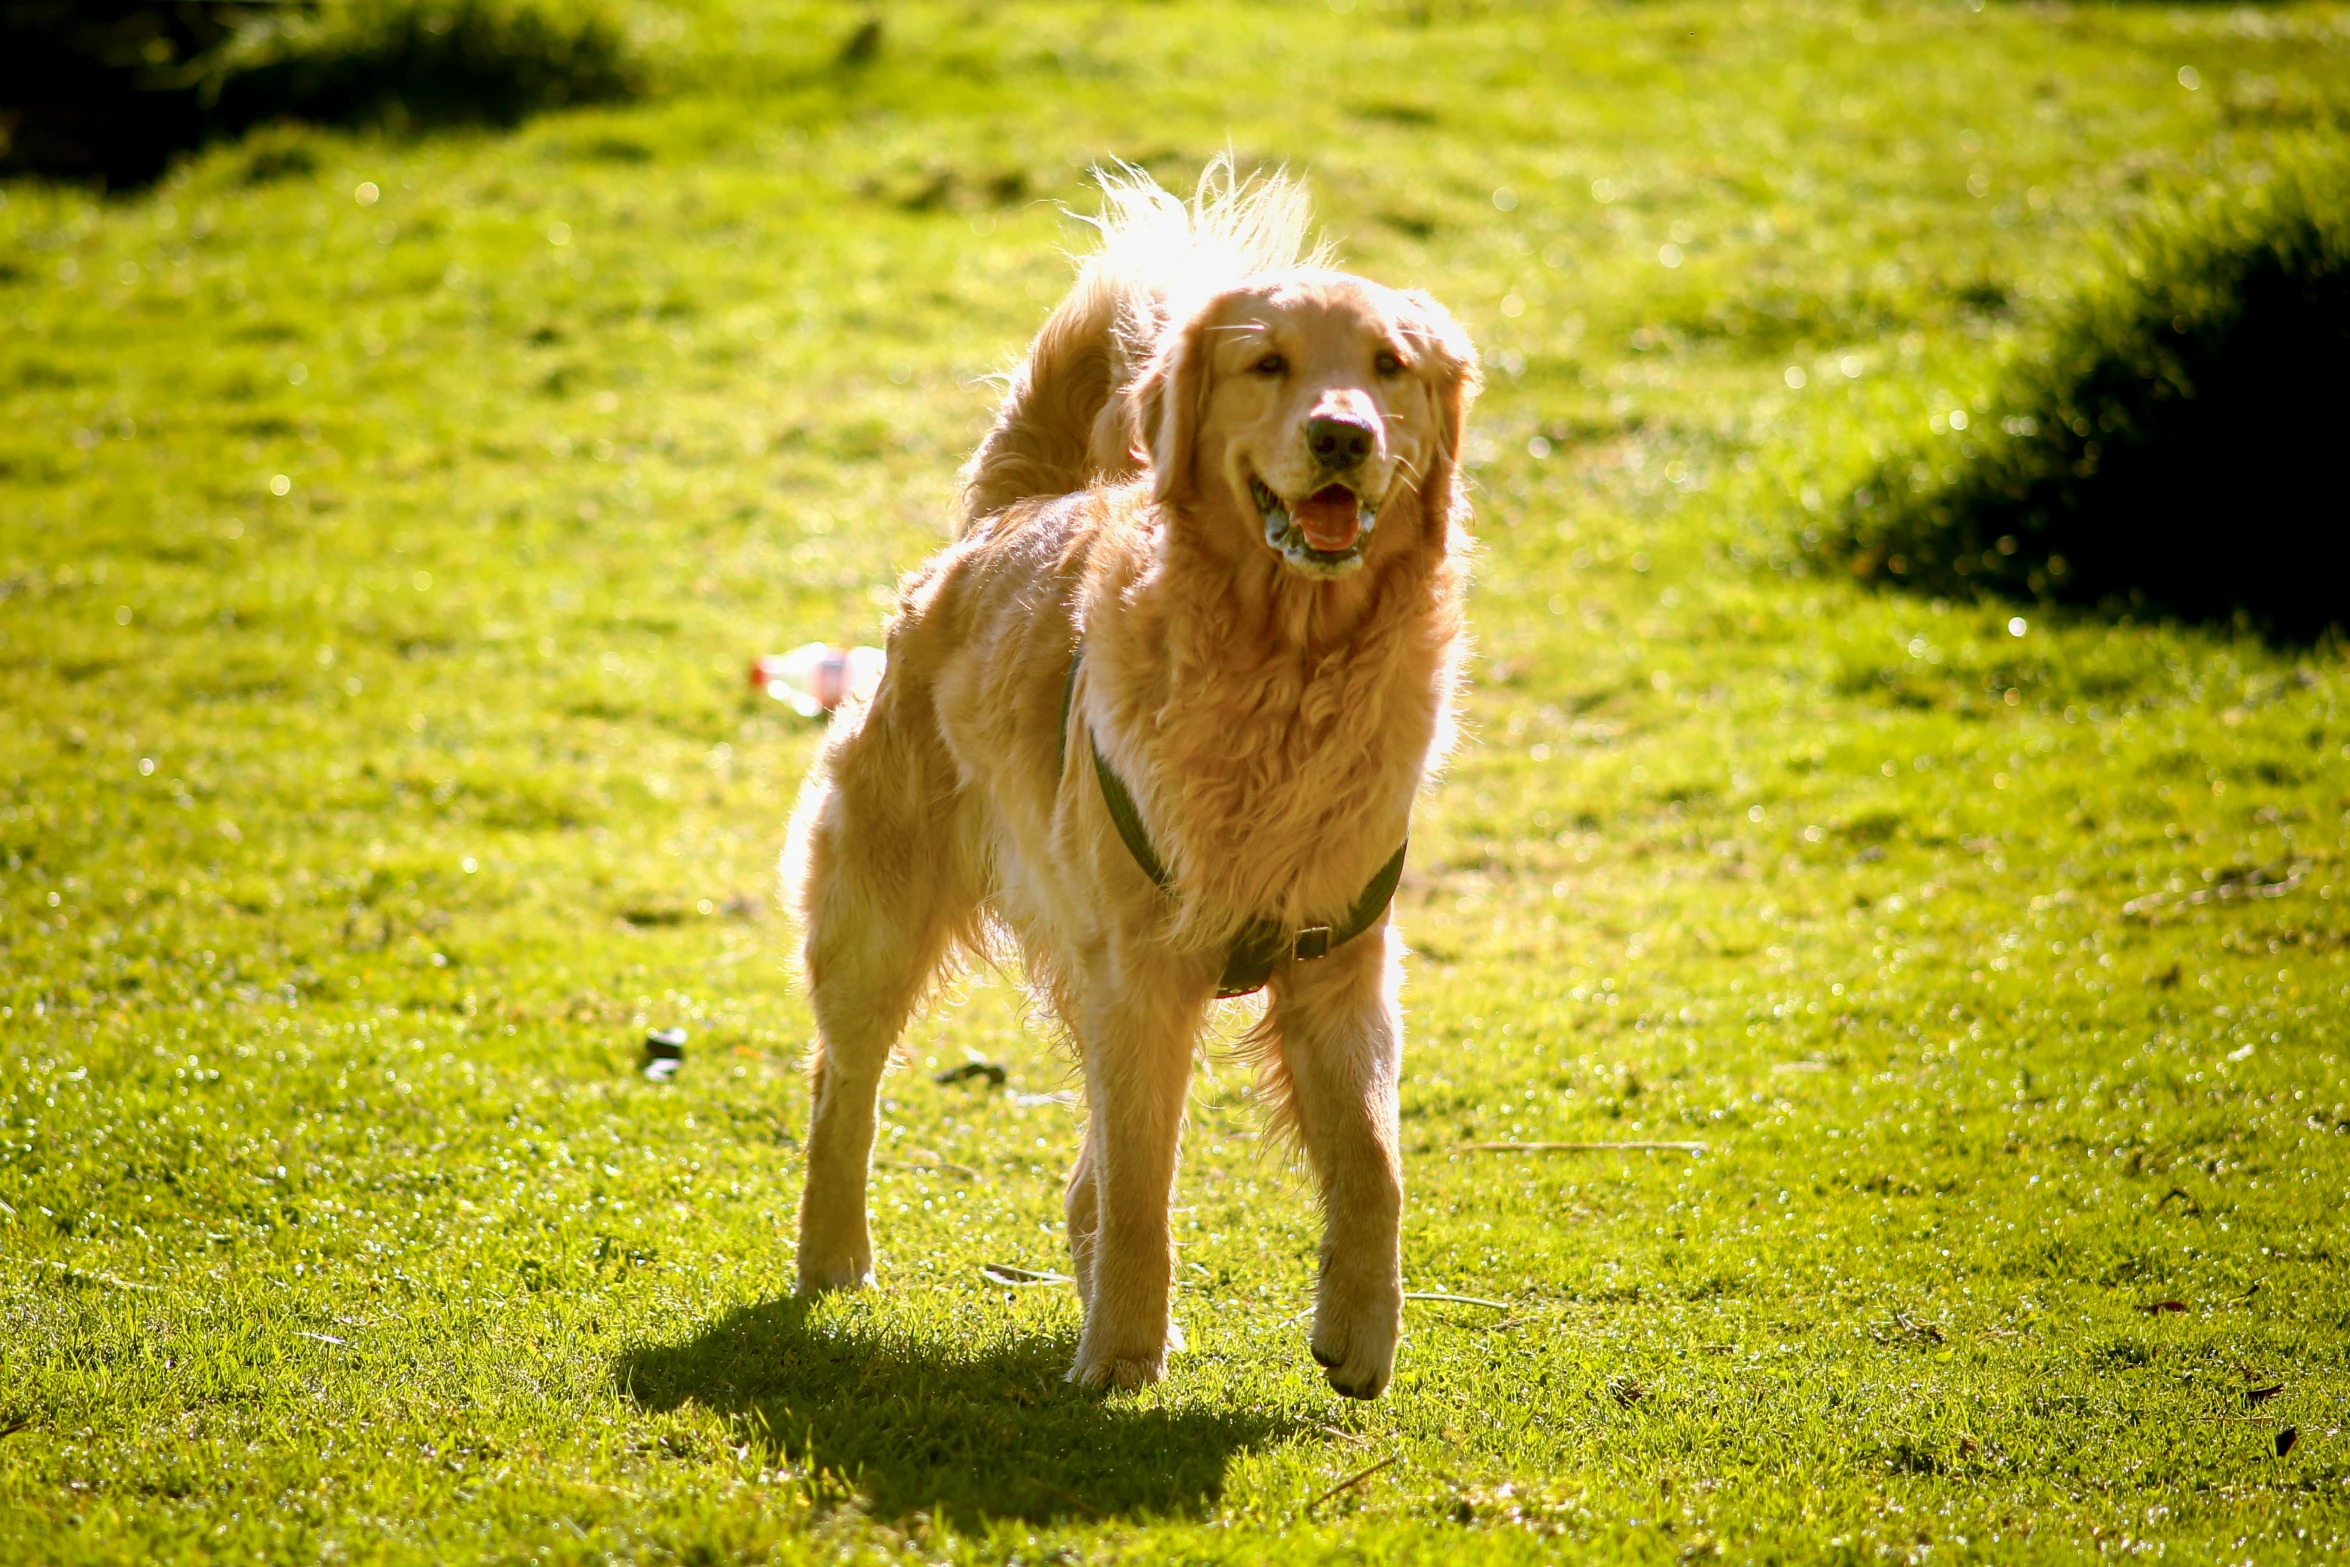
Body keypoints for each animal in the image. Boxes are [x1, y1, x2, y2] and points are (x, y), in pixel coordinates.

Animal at [789, 159, 1485, 1400]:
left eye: (1387, 367)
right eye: (1269, 364)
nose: (1341, 437)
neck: (1284, 667)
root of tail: (1008, 511)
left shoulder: (1339, 962)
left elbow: (1373, 1159)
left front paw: (1361, 1329)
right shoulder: (1143, 975)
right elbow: (1143, 1185)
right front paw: (1119, 1351)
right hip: (880, 911)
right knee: (846, 1082)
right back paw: (834, 1257)